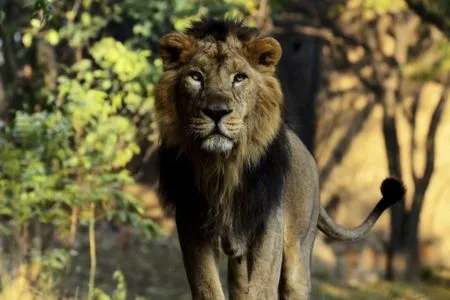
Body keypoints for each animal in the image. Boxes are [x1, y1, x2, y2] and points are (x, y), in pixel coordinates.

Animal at [154, 18, 404, 300]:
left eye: (239, 78)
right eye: (196, 76)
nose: (217, 112)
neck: (223, 165)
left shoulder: (268, 222)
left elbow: (262, 286)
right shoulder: (191, 222)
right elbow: (208, 287)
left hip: (298, 254)